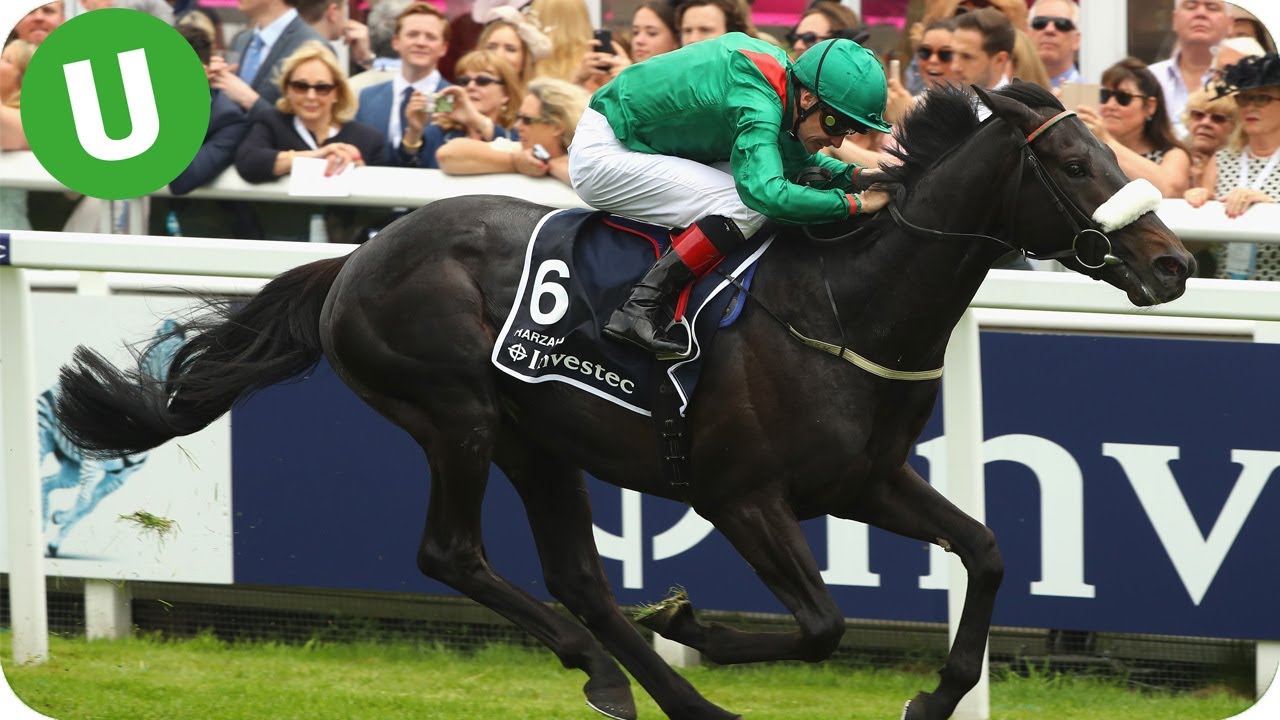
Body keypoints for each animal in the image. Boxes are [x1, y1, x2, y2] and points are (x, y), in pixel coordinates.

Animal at [54, 83, 1192, 720]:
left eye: (1121, 150)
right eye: (1072, 160)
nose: (1174, 262)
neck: (846, 302)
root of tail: (357, 257)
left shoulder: (863, 481)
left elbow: (988, 553)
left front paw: (931, 695)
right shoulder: (741, 496)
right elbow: (822, 623)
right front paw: (697, 618)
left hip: (539, 440)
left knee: (576, 577)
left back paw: (664, 696)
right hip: (459, 417)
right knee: (453, 555)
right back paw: (615, 673)